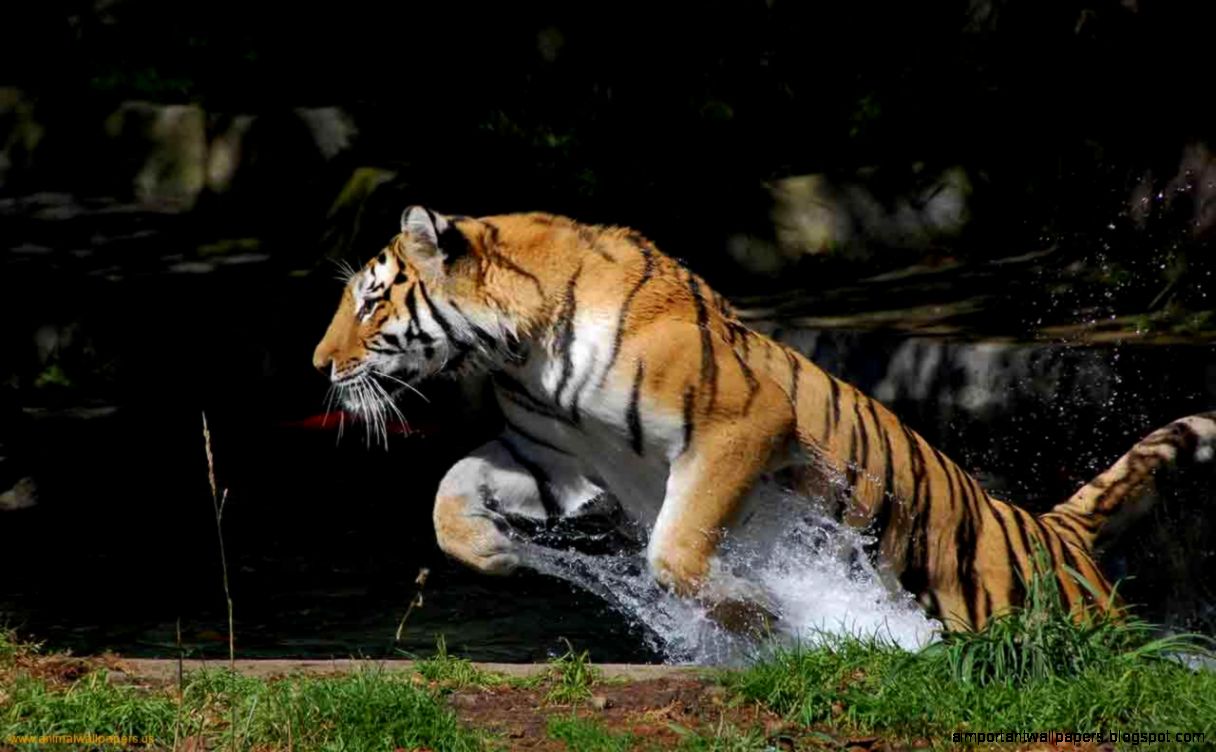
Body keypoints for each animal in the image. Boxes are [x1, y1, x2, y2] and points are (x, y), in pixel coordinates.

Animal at [312, 206, 1216, 634]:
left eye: (371, 299)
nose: (319, 364)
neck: (519, 349)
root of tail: (1054, 529)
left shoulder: (741, 423)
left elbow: (676, 551)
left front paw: (764, 617)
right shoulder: (551, 454)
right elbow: (446, 492)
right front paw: (494, 552)